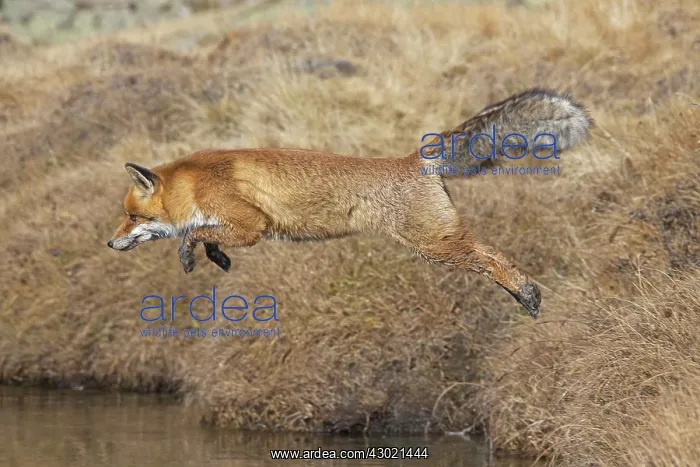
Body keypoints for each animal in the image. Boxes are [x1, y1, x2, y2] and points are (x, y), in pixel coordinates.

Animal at [107, 88, 592, 318]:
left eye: (132, 216)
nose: (109, 245)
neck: (192, 184)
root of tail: (413, 159)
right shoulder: (237, 226)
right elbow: (206, 235)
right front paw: (218, 258)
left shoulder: (252, 224)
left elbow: (193, 235)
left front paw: (192, 256)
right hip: (440, 241)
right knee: (490, 255)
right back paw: (526, 296)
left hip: (435, 244)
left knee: (491, 257)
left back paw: (527, 294)